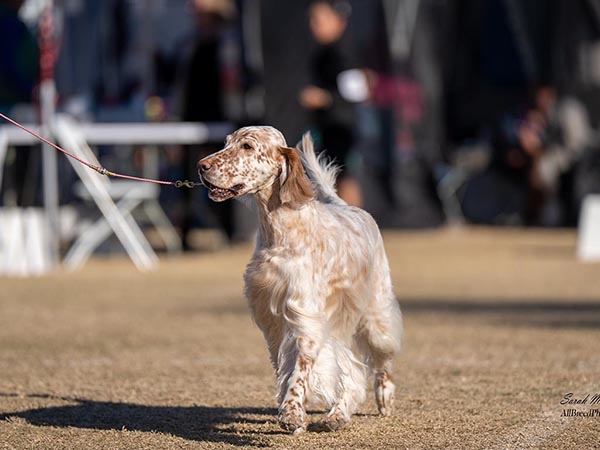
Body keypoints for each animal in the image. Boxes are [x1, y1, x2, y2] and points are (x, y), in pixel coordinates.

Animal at [198, 125, 404, 432]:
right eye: (226, 144)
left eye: (248, 146)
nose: (202, 165)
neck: (280, 233)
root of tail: (350, 206)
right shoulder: (271, 318)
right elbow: (285, 367)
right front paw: (293, 406)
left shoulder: (304, 314)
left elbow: (301, 367)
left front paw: (292, 411)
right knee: (352, 369)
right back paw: (337, 415)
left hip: (375, 314)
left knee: (381, 360)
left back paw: (383, 399)